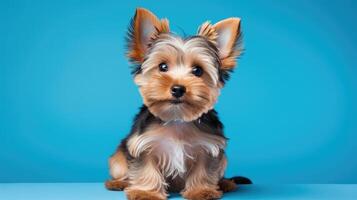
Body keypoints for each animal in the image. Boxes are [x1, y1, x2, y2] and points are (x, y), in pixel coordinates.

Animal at [105, 8, 250, 200]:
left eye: (197, 70)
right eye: (163, 67)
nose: (178, 89)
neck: (177, 118)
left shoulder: (209, 146)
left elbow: (204, 170)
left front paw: (201, 190)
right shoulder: (143, 144)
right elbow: (146, 169)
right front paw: (146, 192)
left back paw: (226, 183)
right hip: (118, 158)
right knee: (121, 168)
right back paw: (119, 183)